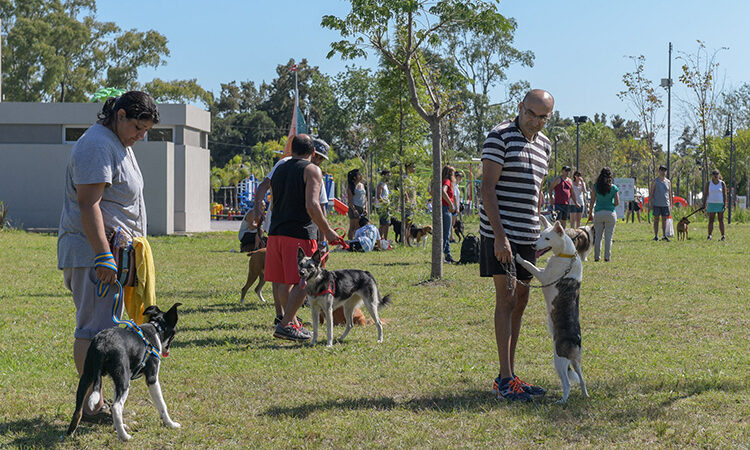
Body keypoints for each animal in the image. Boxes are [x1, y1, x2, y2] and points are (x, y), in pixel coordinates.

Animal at [68, 304, 184, 442]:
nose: (167, 351)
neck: (156, 328)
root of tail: (102, 344)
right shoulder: (152, 378)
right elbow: (162, 405)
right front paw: (170, 424)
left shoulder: (115, 381)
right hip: (124, 380)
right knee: (116, 407)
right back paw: (124, 436)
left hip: (87, 377)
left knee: (78, 410)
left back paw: (70, 434)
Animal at [516, 219, 592, 404]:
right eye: (540, 235)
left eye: (547, 238)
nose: (533, 245)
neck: (566, 256)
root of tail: (576, 341)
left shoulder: (543, 276)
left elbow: (529, 264)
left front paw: (519, 257)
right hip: (576, 362)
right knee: (581, 380)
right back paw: (584, 394)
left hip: (559, 360)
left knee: (567, 384)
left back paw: (562, 401)